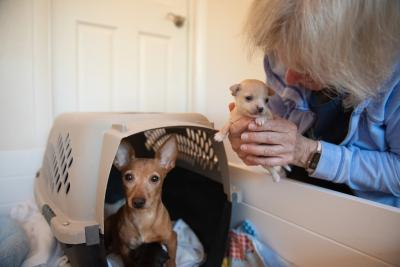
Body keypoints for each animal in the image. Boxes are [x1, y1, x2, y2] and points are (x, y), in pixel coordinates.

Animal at [105, 137, 177, 266]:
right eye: (128, 177)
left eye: (155, 179)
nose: (138, 202)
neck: (144, 218)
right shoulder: (125, 248)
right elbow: (128, 261)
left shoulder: (172, 239)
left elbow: (172, 259)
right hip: (108, 223)